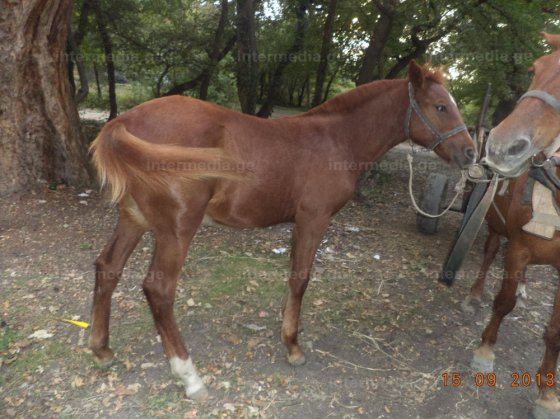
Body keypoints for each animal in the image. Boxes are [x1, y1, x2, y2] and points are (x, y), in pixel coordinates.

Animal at [89, 60, 474, 400]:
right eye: (440, 106)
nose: (470, 152)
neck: (335, 138)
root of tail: (124, 121)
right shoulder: (313, 219)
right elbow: (300, 279)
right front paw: (292, 346)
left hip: (134, 219)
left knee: (108, 267)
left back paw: (101, 349)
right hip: (177, 229)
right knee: (159, 290)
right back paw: (189, 377)